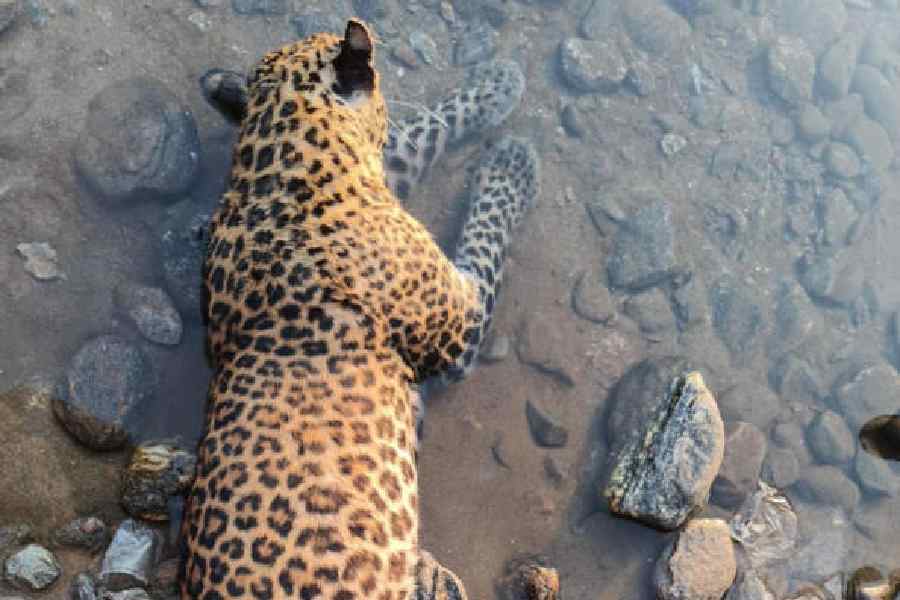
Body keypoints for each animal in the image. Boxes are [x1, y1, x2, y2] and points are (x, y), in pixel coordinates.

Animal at [181, 19, 540, 600]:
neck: (273, 163)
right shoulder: (459, 330)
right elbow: (479, 215)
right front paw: (510, 159)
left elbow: (417, 132)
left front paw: (494, 84)